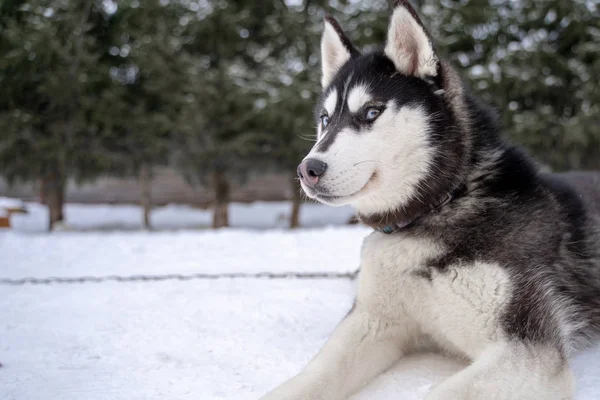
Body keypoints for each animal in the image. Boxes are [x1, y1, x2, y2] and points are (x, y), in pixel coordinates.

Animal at [262, 2, 600, 400]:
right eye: (325, 119)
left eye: (372, 112)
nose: (307, 169)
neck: (438, 205)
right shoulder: (374, 320)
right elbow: (312, 376)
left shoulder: (529, 353)